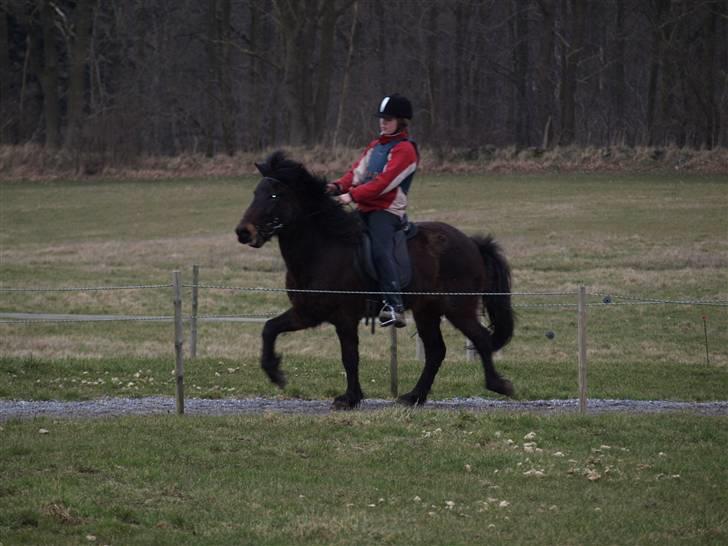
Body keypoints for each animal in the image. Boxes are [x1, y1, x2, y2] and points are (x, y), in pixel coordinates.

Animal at [236, 151, 516, 406]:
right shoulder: (307, 313)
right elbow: (269, 328)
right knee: (436, 351)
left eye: (275, 195)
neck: (324, 247)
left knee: (480, 338)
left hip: (458, 307)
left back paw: (498, 385)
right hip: (427, 311)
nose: (243, 232)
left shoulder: (344, 317)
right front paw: (274, 372)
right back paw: (414, 397)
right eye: (255, 194)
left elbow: (349, 356)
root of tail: (471, 243)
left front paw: (350, 398)